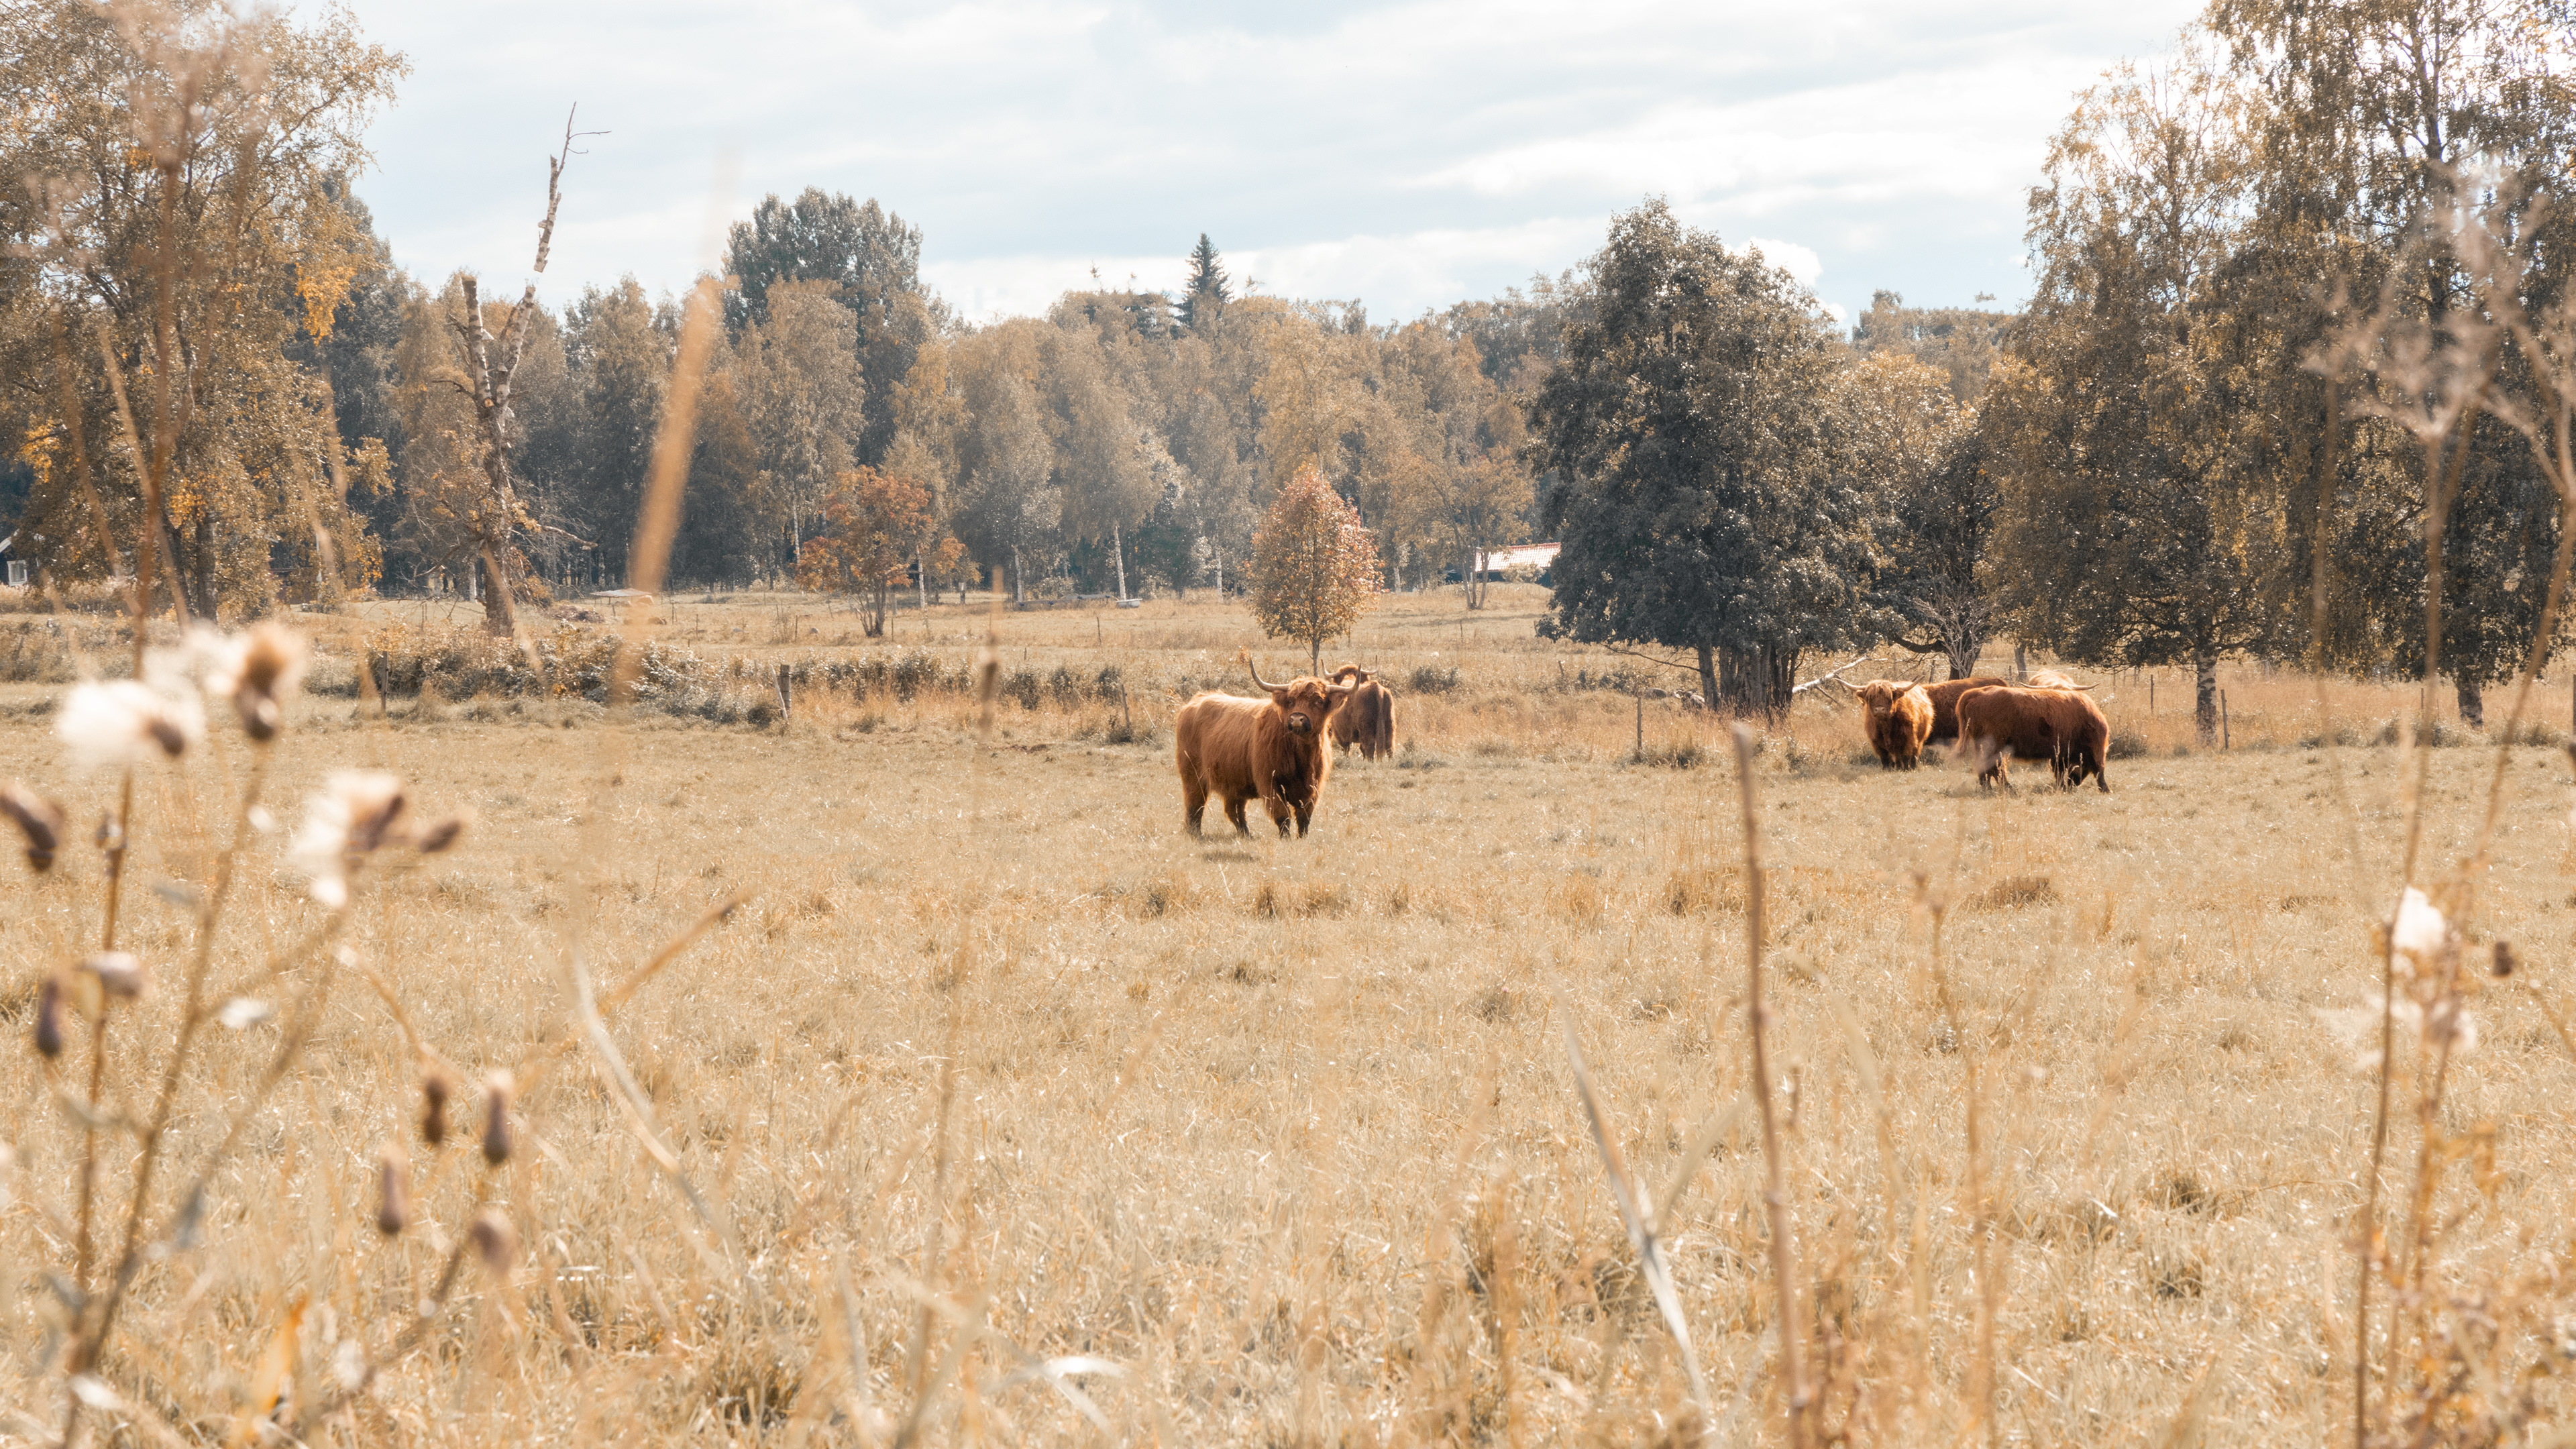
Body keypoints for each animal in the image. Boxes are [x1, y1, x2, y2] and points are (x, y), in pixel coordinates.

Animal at [1175, 653, 1357, 837]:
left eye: (1319, 700)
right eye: (1291, 701)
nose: (1297, 719)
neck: (1302, 753)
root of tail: (1195, 701)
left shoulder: (1313, 786)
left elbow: (1304, 816)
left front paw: (1302, 838)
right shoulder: (1269, 782)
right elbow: (1282, 814)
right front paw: (1286, 838)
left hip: (1233, 781)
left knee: (1235, 810)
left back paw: (1246, 835)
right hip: (1192, 775)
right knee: (1195, 805)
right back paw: (1195, 832)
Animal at [1326, 665, 1396, 760]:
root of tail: (1376, 688)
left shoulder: (1340, 735)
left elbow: (1346, 750)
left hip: (1367, 730)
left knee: (1370, 748)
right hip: (1390, 727)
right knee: (1389, 747)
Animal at [1852, 680, 1936, 769]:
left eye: (1889, 698)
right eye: (1871, 698)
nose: (1879, 709)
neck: (1885, 725)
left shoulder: (1909, 739)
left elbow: (1906, 756)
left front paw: (1906, 769)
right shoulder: (1876, 741)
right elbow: (1884, 758)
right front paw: (1887, 769)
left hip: (1919, 739)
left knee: (1914, 754)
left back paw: (1912, 767)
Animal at [1955, 684, 2110, 793]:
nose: (2074, 784)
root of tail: (1977, 692)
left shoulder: (2059, 753)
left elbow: (2060, 770)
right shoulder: (2095, 749)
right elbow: (2099, 770)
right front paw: (2106, 790)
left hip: (1983, 746)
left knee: (1986, 767)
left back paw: (1988, 788)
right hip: (1994, 745)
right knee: (1995, 767)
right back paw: (2007, 788)